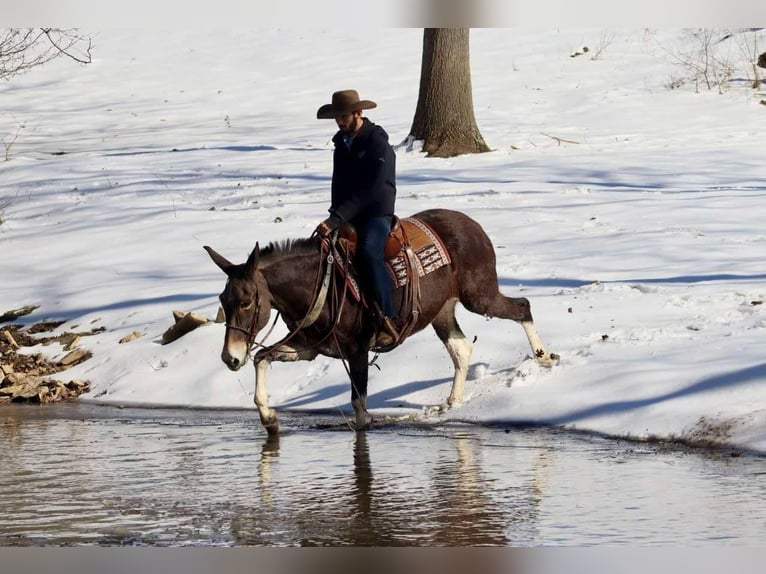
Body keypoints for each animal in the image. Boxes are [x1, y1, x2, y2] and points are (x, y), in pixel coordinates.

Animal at [204, 208, 557, 434]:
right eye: (222, 301)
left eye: (247, 302)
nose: (229, 357)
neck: (319, 286)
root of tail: (474, 225)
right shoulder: (308, 347)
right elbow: (262, 358)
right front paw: (269, 419)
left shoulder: (358, 350)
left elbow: (359, 409)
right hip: (442, 310)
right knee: (461, 349)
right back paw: (453, 400)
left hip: (479, 296)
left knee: (522, 307)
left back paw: (544, 358)